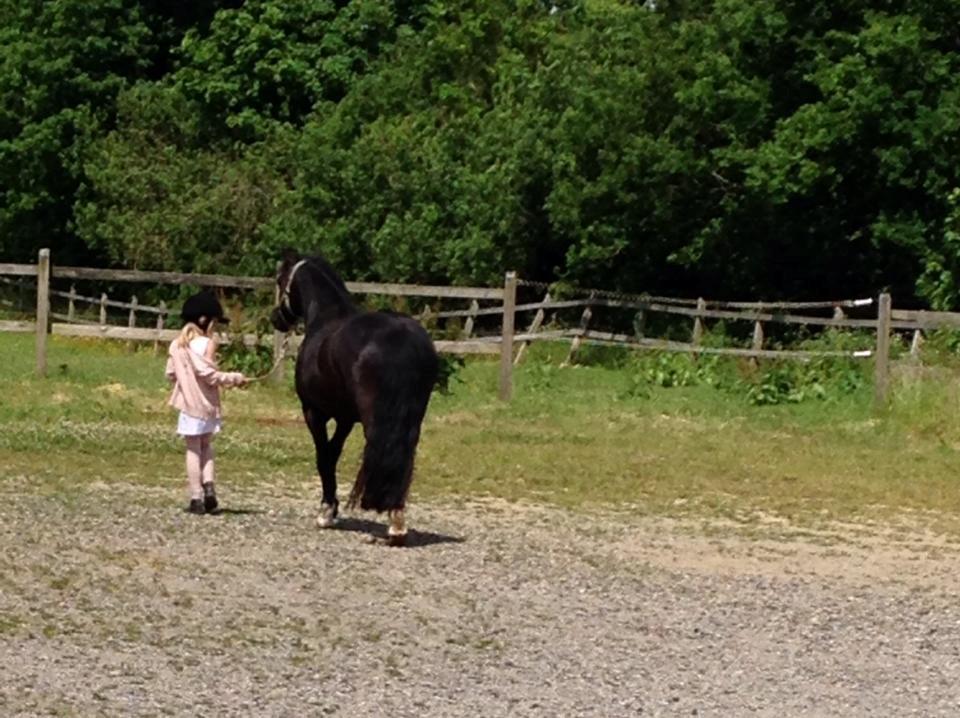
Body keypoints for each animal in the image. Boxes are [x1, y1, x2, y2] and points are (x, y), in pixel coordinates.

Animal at [266, 253, 438, 544]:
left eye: (281, 279)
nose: (276, 318)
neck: (325, 318)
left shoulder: (314, 412)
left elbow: (323, 456)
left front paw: (326, 511)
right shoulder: (345, 418)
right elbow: (333, 453)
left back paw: (393, 523)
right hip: (412, 418)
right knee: (404, 457)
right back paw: (397, 519)